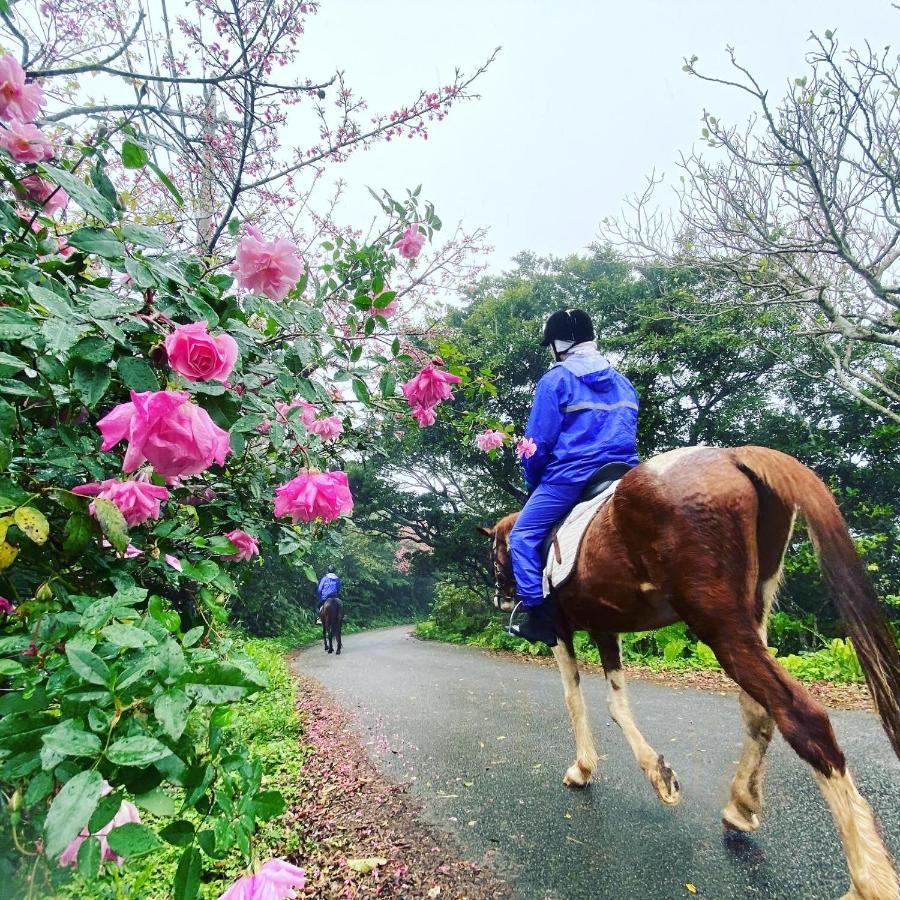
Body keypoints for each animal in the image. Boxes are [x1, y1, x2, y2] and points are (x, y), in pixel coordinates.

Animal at [482, 444, 900, 900]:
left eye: (495, 553)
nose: (501, 597)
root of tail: (733, 456)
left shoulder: (559, 629)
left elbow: (574, 700)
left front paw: (583, 768)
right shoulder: (605, 627)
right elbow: (616, 704)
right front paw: (659, 775)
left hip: (716, 621)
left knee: (800, 715)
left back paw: (869, 879)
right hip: (752, 613)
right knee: (759, 709)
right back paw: (740, 806)